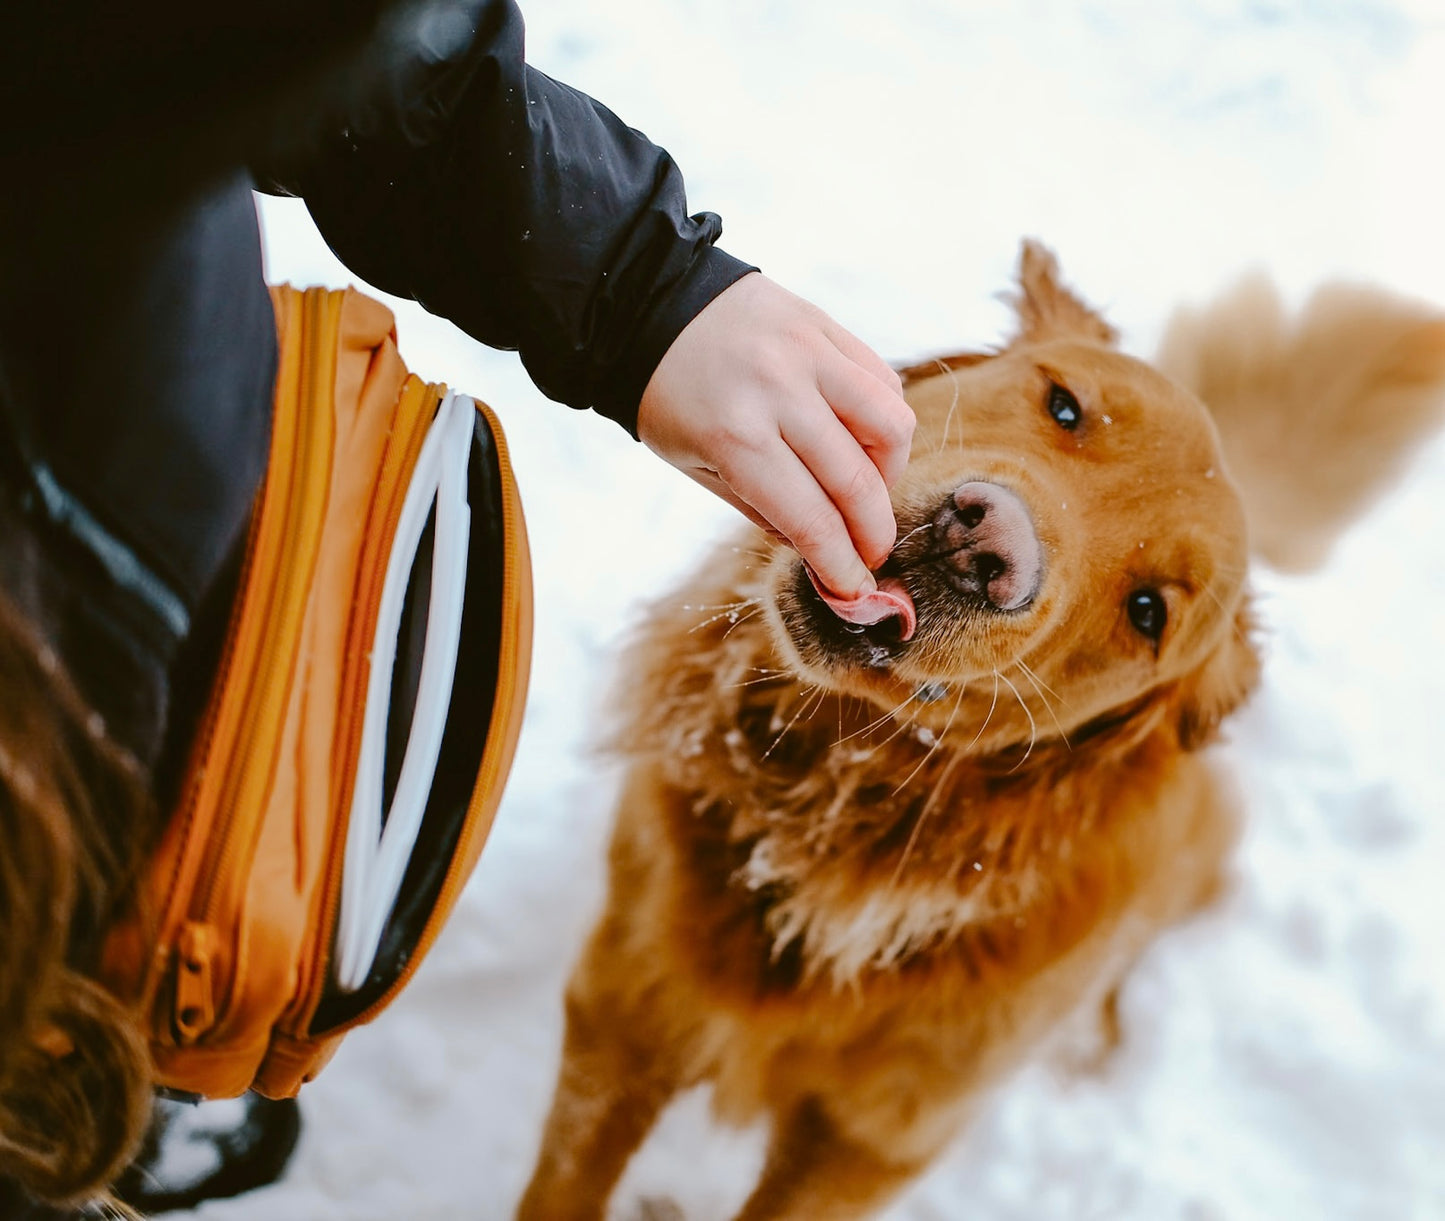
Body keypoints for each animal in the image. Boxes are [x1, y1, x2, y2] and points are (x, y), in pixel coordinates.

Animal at [517, 242, 1445, 1213]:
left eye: (1147, 612)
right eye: (1064, 405)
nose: (983, 548)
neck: (827, 830)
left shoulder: (871, 1142)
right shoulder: (621, 1010)